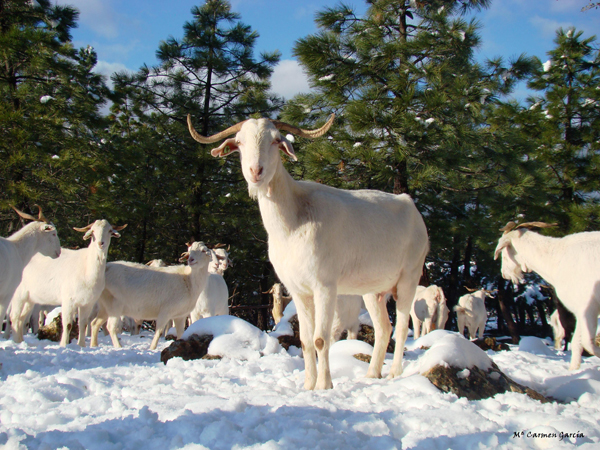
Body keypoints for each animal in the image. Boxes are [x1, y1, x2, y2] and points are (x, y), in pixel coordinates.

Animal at [494, 220, 600, 370]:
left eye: (503, 253)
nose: (504, 274)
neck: (556, 258)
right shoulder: (581, 310)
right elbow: (578, 344)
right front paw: (573, 371)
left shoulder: (588, 307)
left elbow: (587, 343)